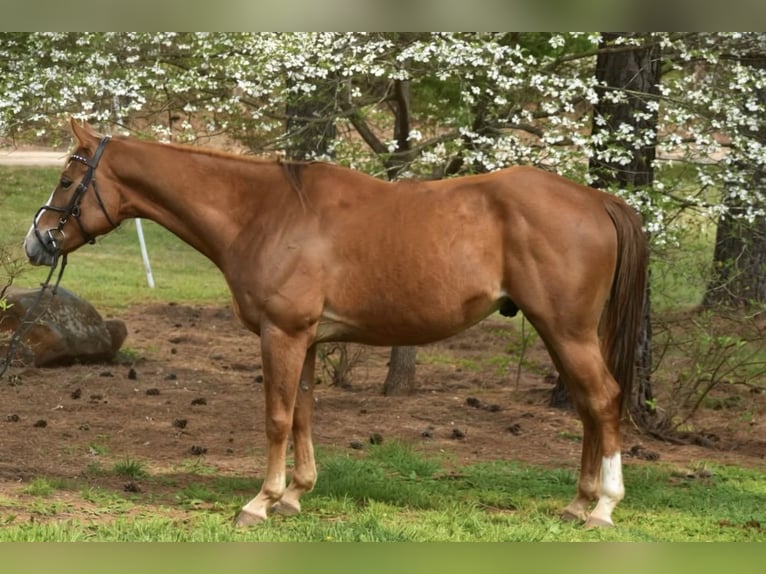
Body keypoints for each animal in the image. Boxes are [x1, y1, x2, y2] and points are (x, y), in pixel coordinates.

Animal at [24, 119, 647, 528]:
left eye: (66, 181)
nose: (36, 242)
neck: (265, 214)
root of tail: (594, 199)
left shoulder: (282, 334)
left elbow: (277, 418)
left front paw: (260, 502)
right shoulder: (306, 339)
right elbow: (302, 413)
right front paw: (294, 496)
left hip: (566, 331)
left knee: (604, 400)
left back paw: (604, 507)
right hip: (560, 332)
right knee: (588, 407)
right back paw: (578, 502)